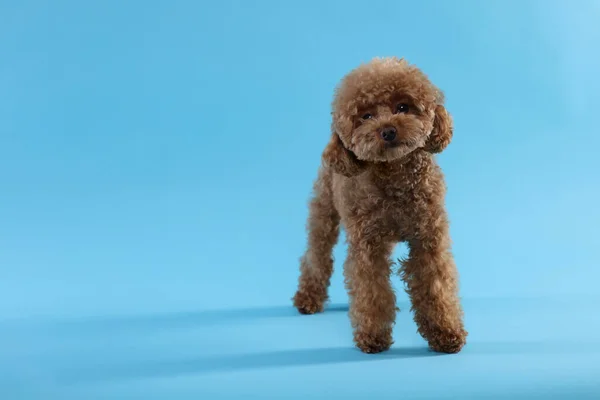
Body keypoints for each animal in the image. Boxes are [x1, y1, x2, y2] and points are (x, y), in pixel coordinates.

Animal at [292, 55, 466, 354]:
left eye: (403, 107)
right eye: (366, 116)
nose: (387, 131)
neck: (394, 177)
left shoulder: (428, 238)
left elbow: (436, 286)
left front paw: (446, 333)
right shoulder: (367, 245)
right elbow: (371, 291)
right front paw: (372, 336)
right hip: (324, 211)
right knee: (316, 254)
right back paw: (308, 297)